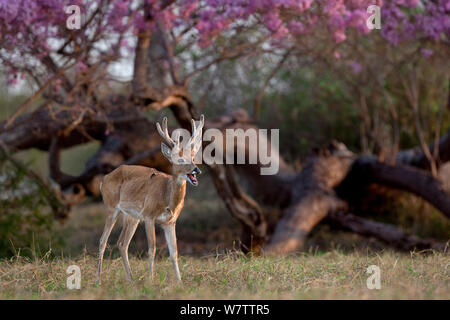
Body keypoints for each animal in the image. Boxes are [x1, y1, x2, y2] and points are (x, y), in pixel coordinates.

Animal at [96, 115, 206, 284]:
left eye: (193, 157)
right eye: (179, 159)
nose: (196, 170)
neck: (167, 197)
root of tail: (104, 180)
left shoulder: (170, 222)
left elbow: (174, 252)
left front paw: (180, 283)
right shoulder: (149, 215)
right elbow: (152, 249)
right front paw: (151, 280)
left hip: (131, 216)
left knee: (122, 243)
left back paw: (131, 280)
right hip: (111, 207)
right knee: (103, 241)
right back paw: (98, 280)